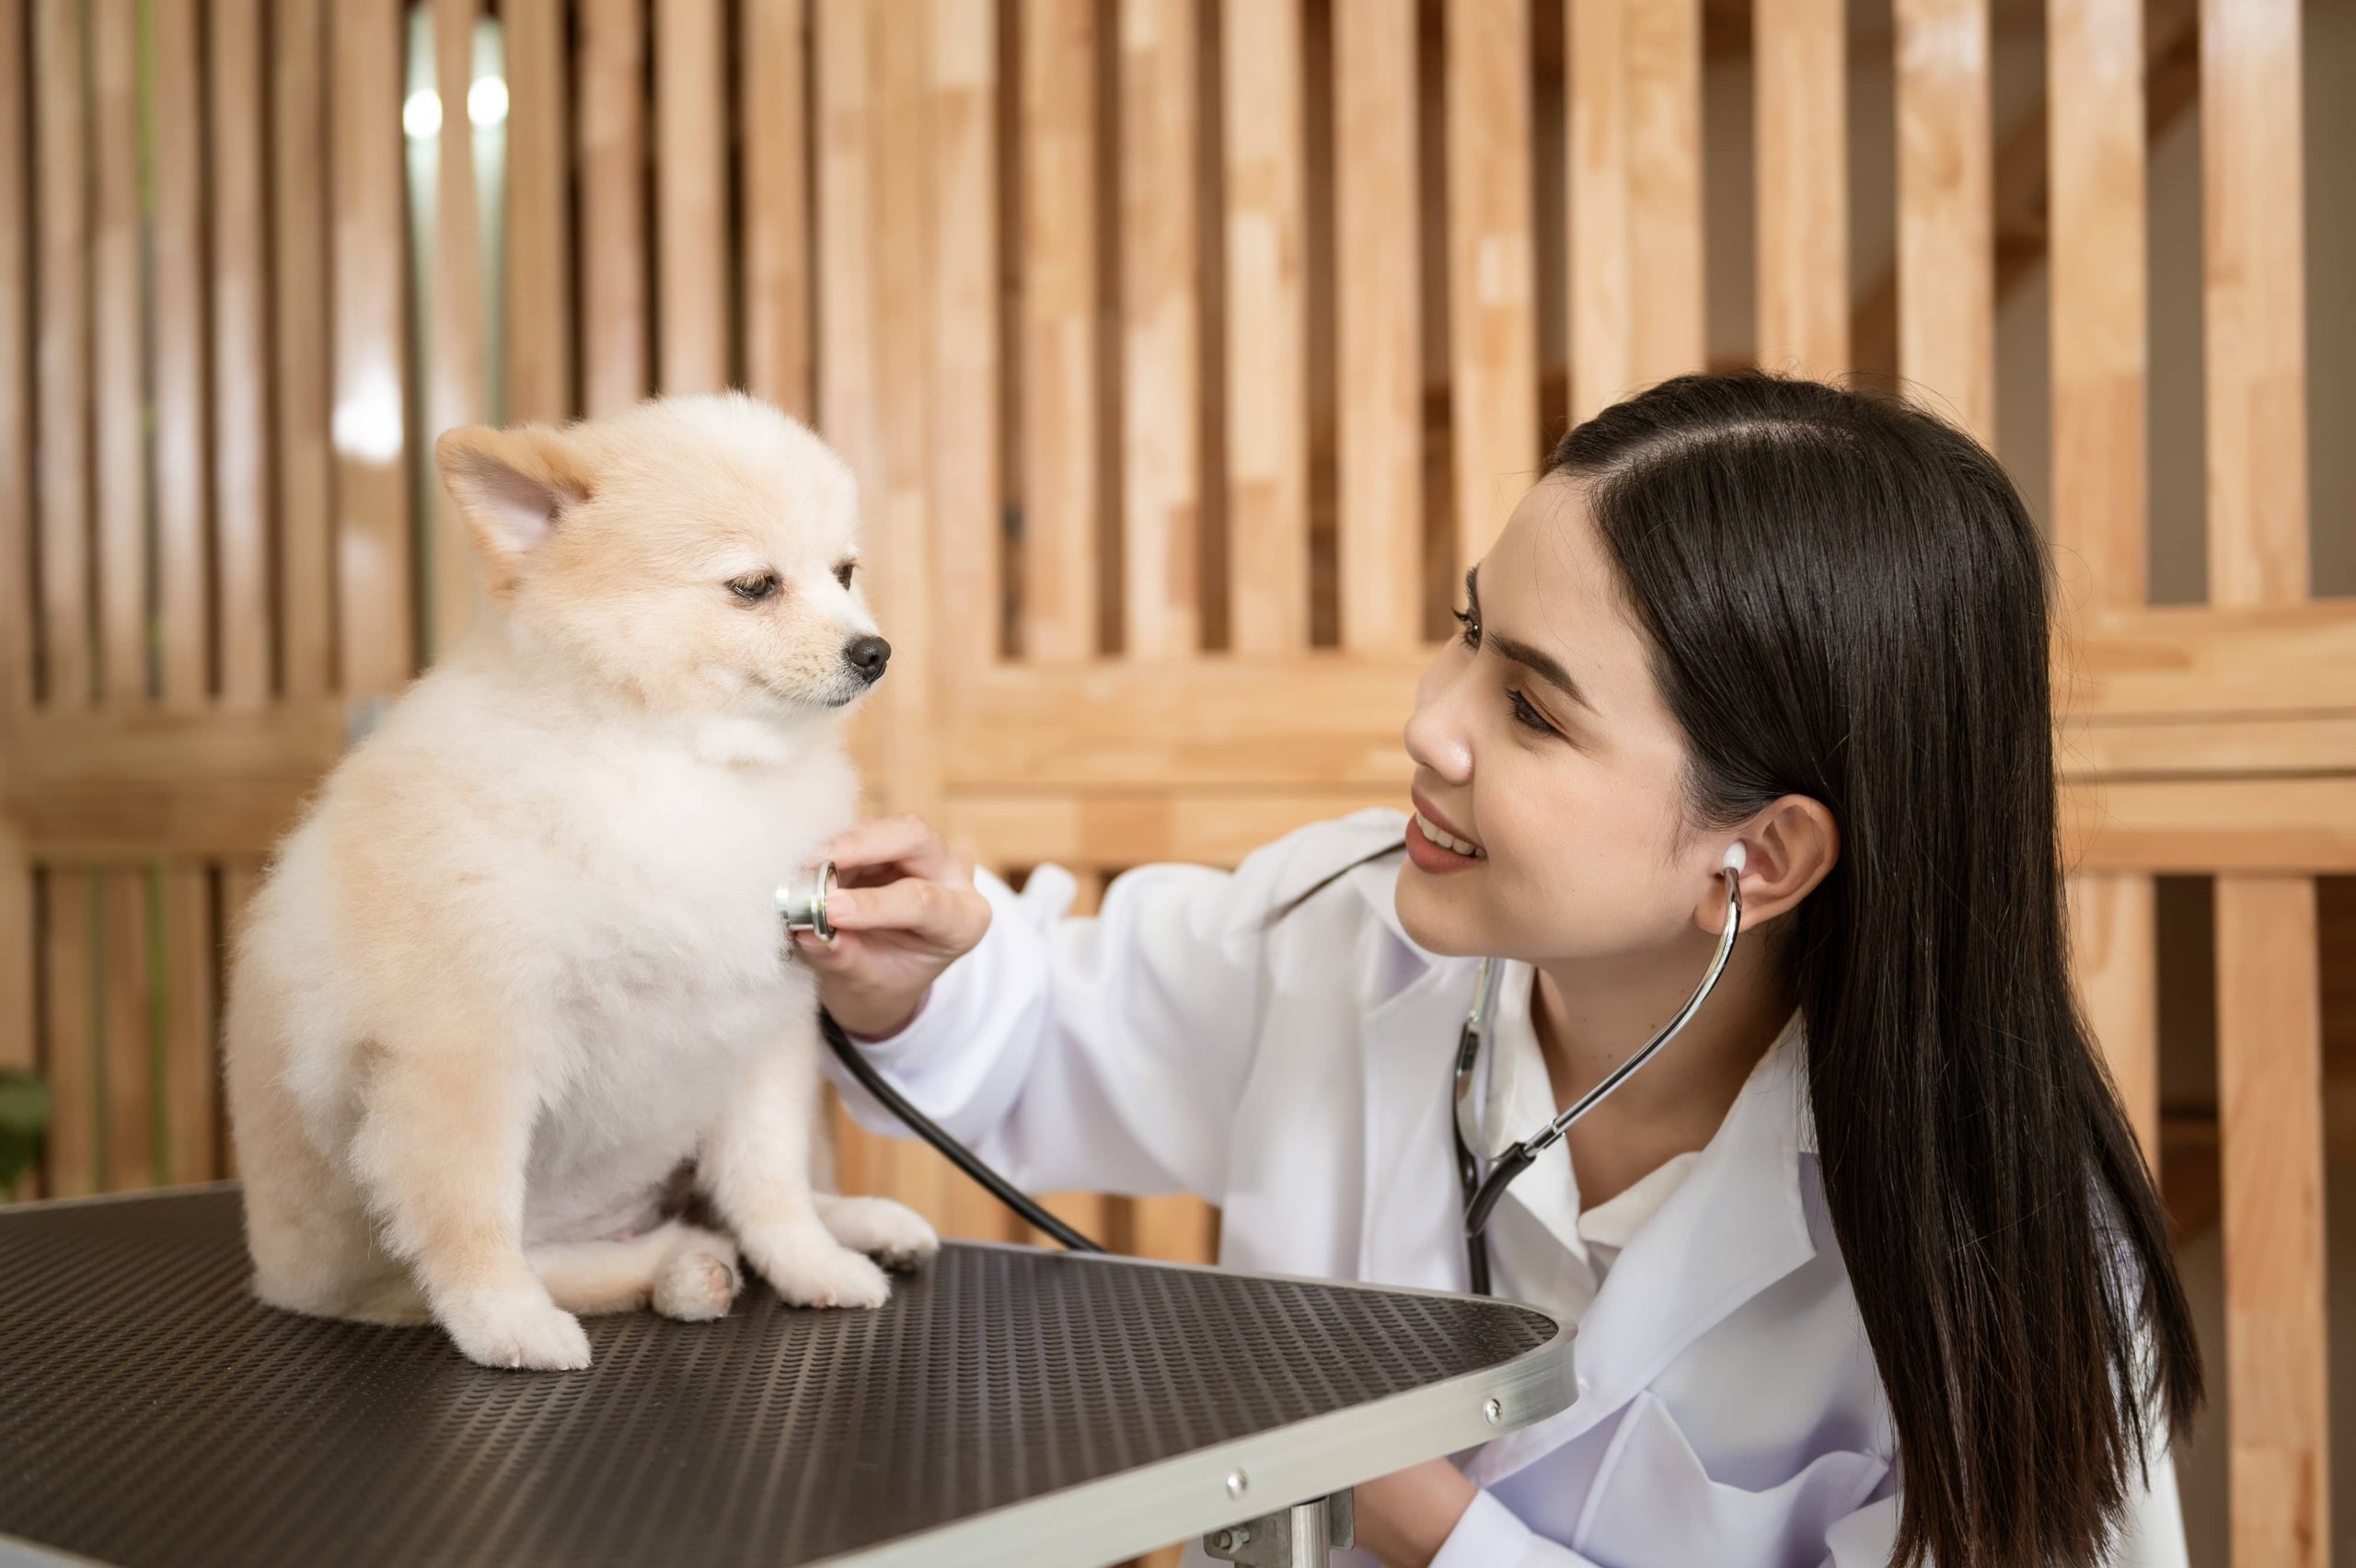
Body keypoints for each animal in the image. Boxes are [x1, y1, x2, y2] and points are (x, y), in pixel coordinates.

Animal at [222, 393, 937, 1365]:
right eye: (755, 586)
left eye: (844, 572)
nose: (875, 650)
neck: (676, 764)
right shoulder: (463, 1050)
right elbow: (470, 1217)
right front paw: (505, 1322)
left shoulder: (761, 1028)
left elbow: (771, 1182)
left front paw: (811, 1265)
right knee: (550, 1256)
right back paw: (677, 1267)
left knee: (731, 1200)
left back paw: (850, 1227)